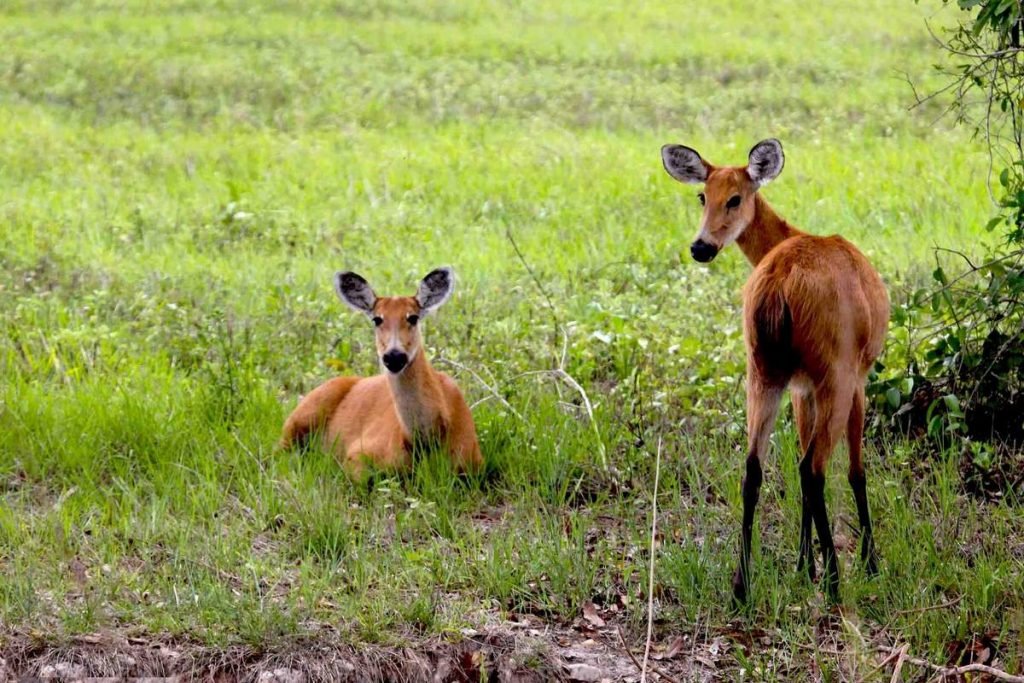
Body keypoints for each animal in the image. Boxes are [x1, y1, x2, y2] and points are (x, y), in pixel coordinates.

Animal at [280, 266, 483, 475]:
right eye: (377, 319)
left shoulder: (474, 462)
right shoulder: (357, 452)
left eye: (413, 317)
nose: (394, 356)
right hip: (302, 415)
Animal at [663, 139, 888, 602]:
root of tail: (780, 283)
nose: (700, 247)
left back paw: (742, 584)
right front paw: (868, 563)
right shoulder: (858, 376)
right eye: (702, 196)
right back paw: (835, 582)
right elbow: (856, 471)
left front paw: (803, 565)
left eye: (734, 198)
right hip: (834, 369)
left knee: (754, 468)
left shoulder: (801, 387)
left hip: (761, 367)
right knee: (813, 469)